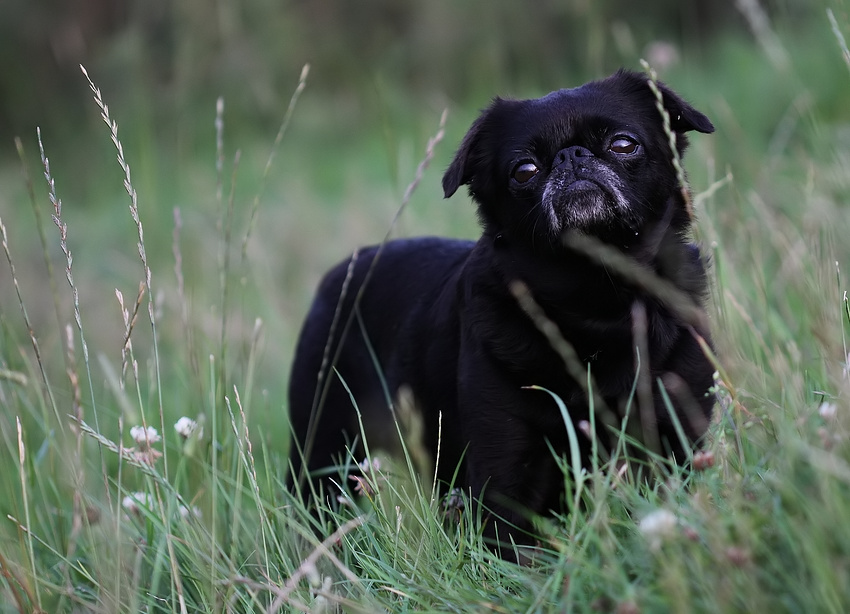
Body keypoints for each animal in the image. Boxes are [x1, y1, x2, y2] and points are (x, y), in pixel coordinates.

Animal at [286, 70, 716, 556]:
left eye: (624, 144)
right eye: (524, 170)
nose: (572, 156)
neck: (594, 300)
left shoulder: (676, 442)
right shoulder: (507, 477)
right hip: (323, 455)